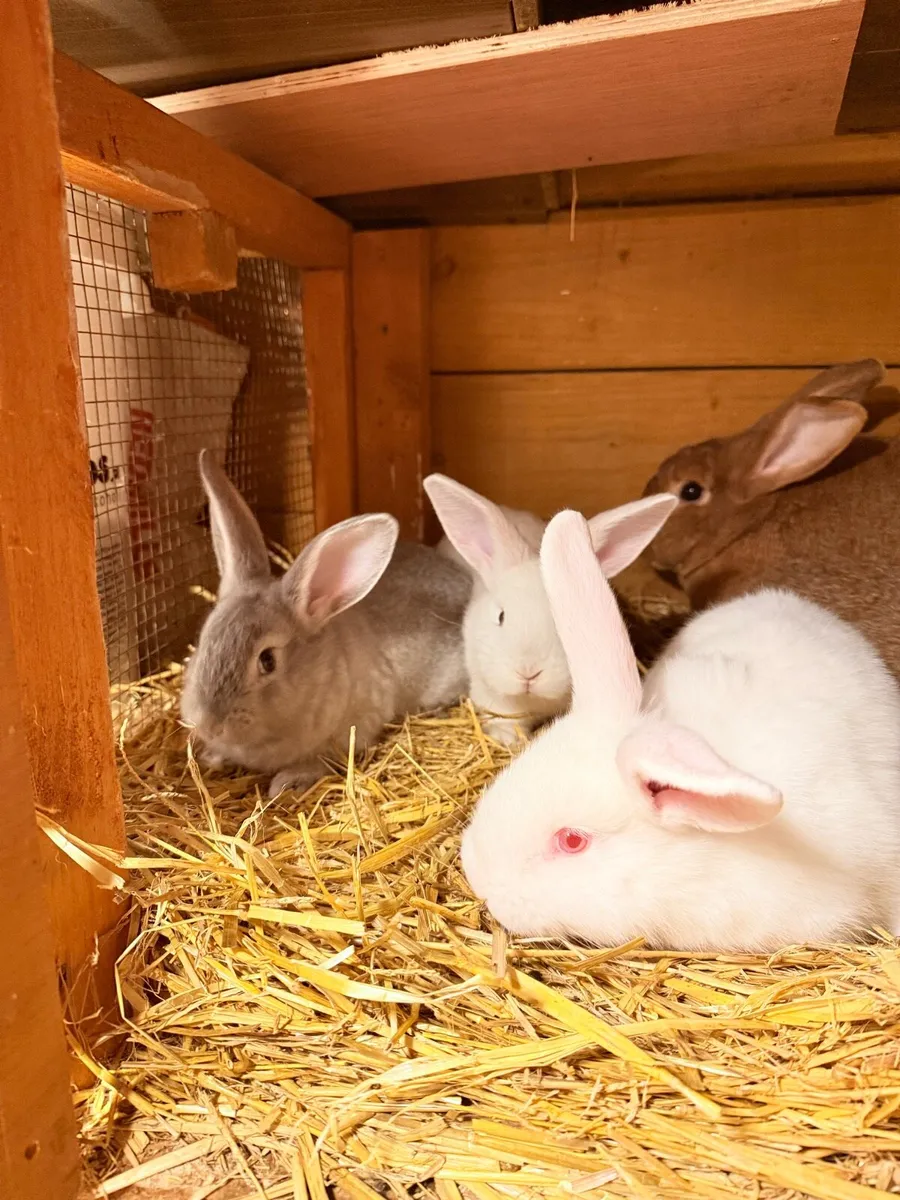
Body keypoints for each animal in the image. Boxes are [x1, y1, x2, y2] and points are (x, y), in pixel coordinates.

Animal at [181, 451, 472, 798]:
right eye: (203, 640)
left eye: (268, 660)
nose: (208, 724)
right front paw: (212, 755)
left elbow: (322, 761)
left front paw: (288, 782)